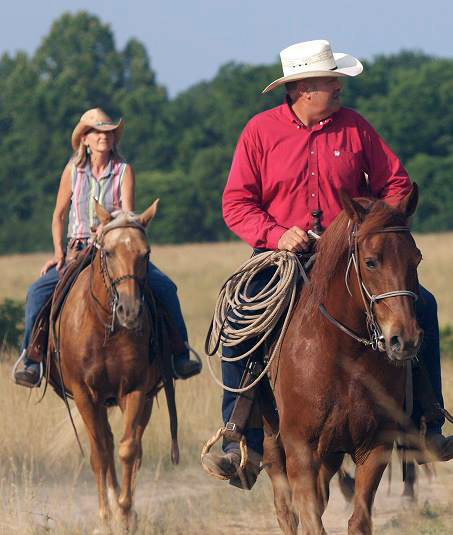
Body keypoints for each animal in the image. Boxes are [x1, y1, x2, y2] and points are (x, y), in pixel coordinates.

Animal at [48, 202, 177, 535]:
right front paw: (106, 517)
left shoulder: (135, 390)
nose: (130, 311)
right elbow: (100, 455)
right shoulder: (84, 395)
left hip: (143, 399)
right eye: (107, 252)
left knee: (133, 446)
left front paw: (125, 513)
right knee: (104, 444)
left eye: (146, 253)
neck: (104, 324)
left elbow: (127, 449)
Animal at [264, 185, 422, 535]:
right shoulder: (300, 449)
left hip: (332, 453)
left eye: (416, 258)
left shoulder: (374, 446)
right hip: (273, 444)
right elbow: (310, 521)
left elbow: (358, 520)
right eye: (371, 262)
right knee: (285, 510)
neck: (343, 355)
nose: (404, 338)